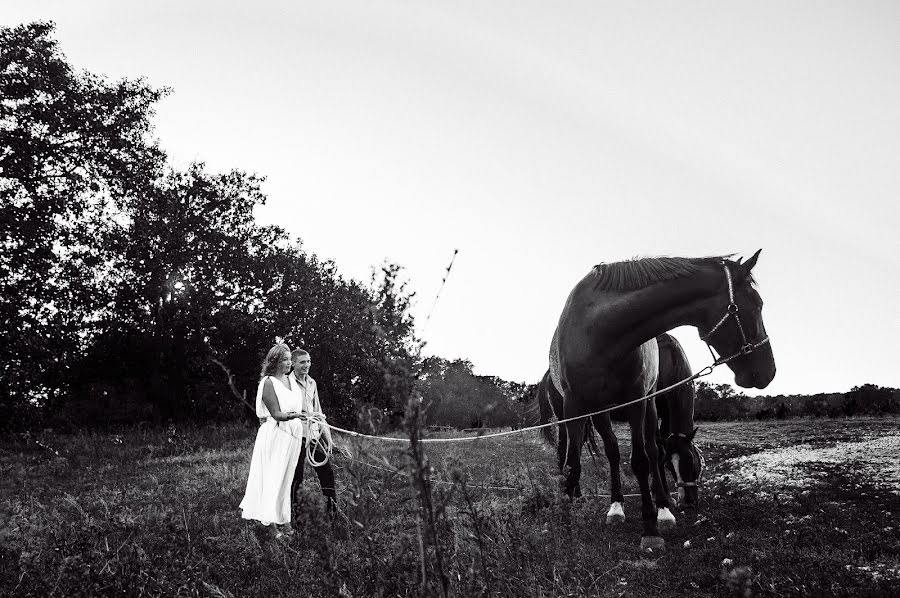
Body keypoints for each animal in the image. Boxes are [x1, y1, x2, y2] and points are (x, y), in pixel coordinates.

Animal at [536, 336, 704, 532]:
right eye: (672, 465)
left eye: (691, 460)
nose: (688, 501)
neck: (669, 362)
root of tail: (549, 373)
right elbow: (655, 450)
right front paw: (664, 498)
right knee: (564, 450)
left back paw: (578, 497)